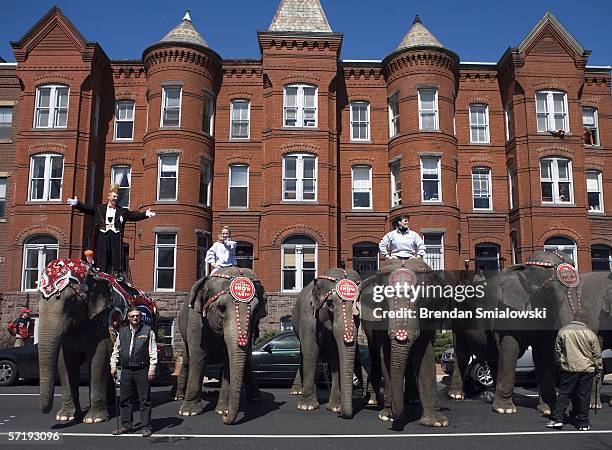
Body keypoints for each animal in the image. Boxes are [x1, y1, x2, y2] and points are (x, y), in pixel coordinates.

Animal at [175, 266, 266, 424]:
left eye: (255, 311)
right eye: (221, 307)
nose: (225, 419)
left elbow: (229, 359)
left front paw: (222, 410)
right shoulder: (195, 319)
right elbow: (198, 356)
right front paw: (188, 412)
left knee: (247, 361)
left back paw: (255, 398)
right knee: (187, 360)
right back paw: (179, 396)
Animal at [290, 268, 360, 418]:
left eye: (358, 304)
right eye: (330, 304)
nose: (341, 413)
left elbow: (336, 356)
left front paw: (334, 407)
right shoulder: (308, 316)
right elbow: (311, 351)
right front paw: (307, 407)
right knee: (303, 353)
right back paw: (297, 391)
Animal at [358, 258, 450, 428]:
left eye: (422, 301)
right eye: (383, 301)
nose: (394, 416)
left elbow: (424, 352)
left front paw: (436, 422)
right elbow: (386, 354)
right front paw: (387, 416)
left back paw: (413, 401)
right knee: (375, 357)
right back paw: (374, 402)